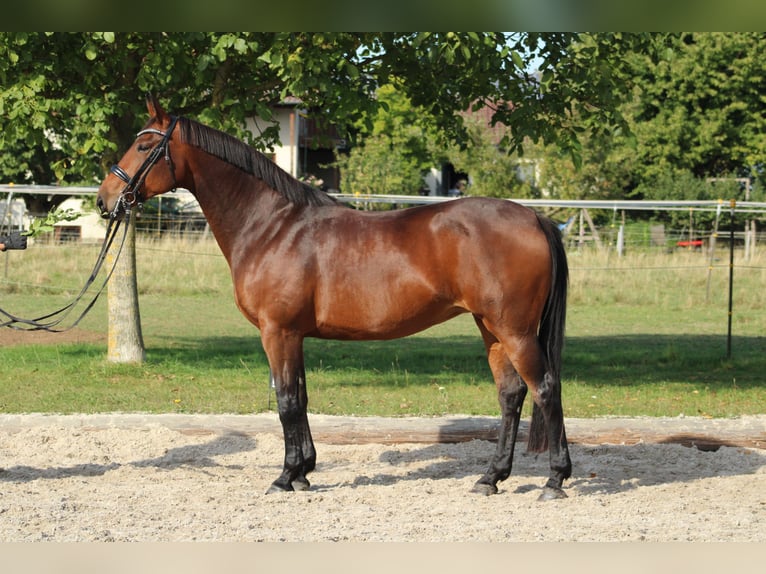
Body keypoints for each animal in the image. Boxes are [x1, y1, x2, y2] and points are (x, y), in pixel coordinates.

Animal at [97, 94, 572, 500]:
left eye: (143, 145)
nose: (105, 200)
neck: (272, 226)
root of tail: (535, 218)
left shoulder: (278, 332)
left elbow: (286, 401)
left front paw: (285, 476)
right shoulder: (294, 335)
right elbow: (301, 397)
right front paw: (304, 471)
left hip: (514, 330)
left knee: (545, 388)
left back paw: (555, 479)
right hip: (491, 328)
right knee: (512, 394)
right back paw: (490, 478)